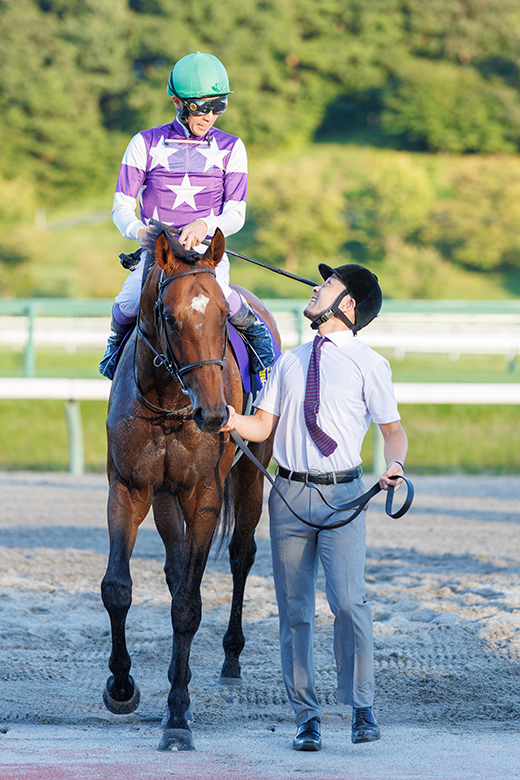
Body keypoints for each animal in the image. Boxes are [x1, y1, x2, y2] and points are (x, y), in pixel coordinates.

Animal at [100, 225, 280, 751]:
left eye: (221, 316)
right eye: (170, 317)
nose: (216, 414)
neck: (168, 403)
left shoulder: (204, 496)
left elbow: (188, 605)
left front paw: (178, 714)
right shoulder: (130, 488)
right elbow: (118, 588)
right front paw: (122, 685)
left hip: (250, 474)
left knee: (241, 555)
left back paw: (231, 659)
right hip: (164, 498)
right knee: (176, 567)